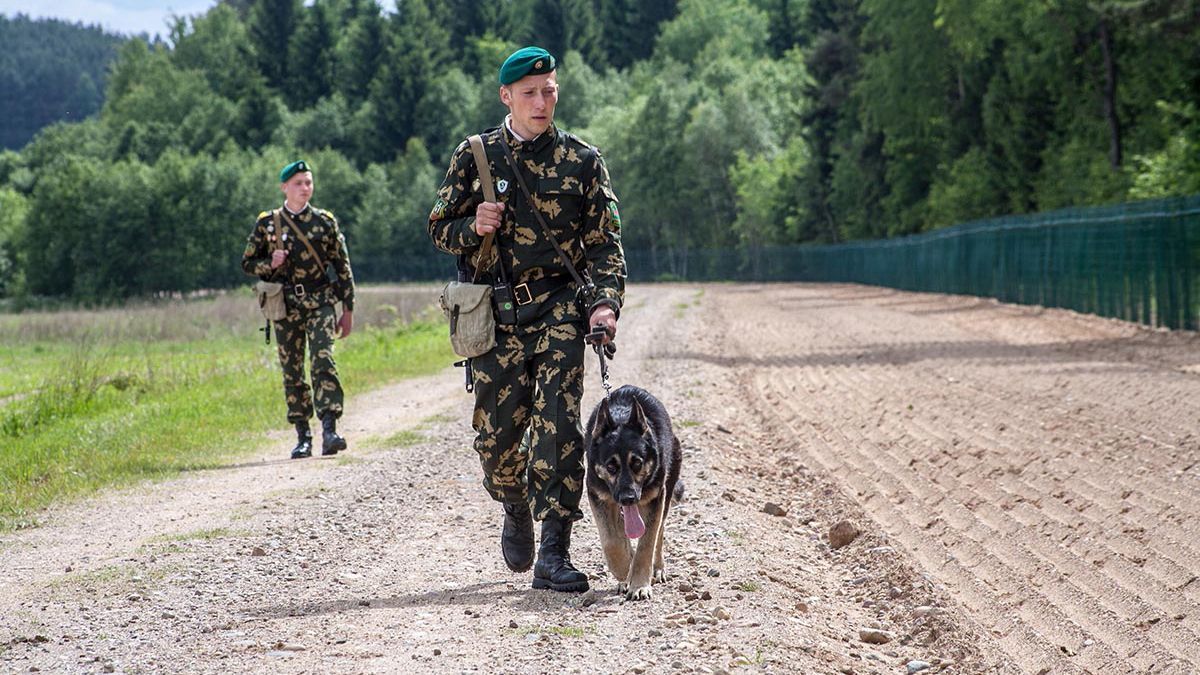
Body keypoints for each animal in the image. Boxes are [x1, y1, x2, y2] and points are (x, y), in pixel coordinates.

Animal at [583, 384, 681, 598]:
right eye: (611, 466)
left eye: (637, 463)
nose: (628, 498)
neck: (621, 417)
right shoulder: (598, 496)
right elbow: (611, 542)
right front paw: (624, 571)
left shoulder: (655, 499)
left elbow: (647, 544)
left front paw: (639, 585)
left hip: (665, 494)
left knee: (659, 532)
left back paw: (657, 568)